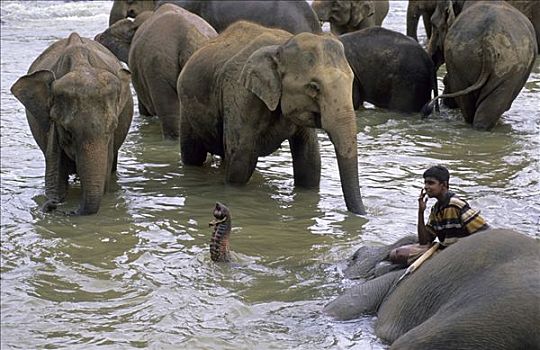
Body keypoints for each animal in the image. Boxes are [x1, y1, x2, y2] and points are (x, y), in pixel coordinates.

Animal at [177, 21, 368, 215]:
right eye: (314, 87)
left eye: (351, 82)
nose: (365, 213)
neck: (280, 47)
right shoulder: (241, 94)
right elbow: (241, 161)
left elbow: (309, 161)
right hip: (186, 109)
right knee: (193, 155)